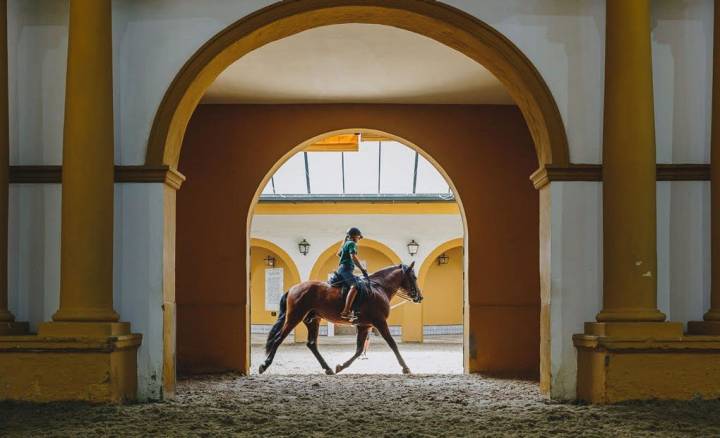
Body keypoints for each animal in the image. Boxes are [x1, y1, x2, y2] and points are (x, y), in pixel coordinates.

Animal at [260, 262, 422, 374]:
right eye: (413, 277)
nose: (420, 297)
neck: (378, 288)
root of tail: (293, 288)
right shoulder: (380, 322)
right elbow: (392, 344)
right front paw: (405, 368)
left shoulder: (364, 325)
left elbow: (359, 350)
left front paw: (340, 366)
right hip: (294, 317)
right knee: (278, 339)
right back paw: (264, 365)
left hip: (313, 320)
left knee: (312, 344)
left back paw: (328, 369)